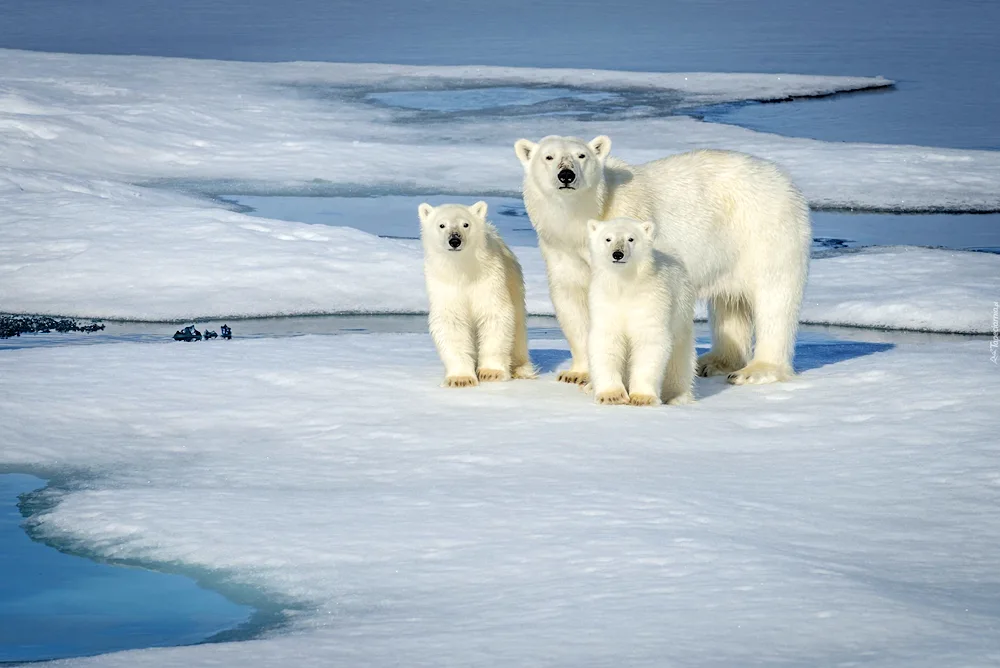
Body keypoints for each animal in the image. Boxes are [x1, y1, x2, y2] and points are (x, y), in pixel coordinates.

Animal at [516, 136, 812, 386]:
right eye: (549, 157)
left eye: (582, 155)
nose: (566, 175)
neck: (583, 218)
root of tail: (785, 181)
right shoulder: (561, 249)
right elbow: (572, 300)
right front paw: (576, 374)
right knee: (729, 303)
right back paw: (714, 362)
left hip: (765, 230)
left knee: (775, 298)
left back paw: (755, 371)